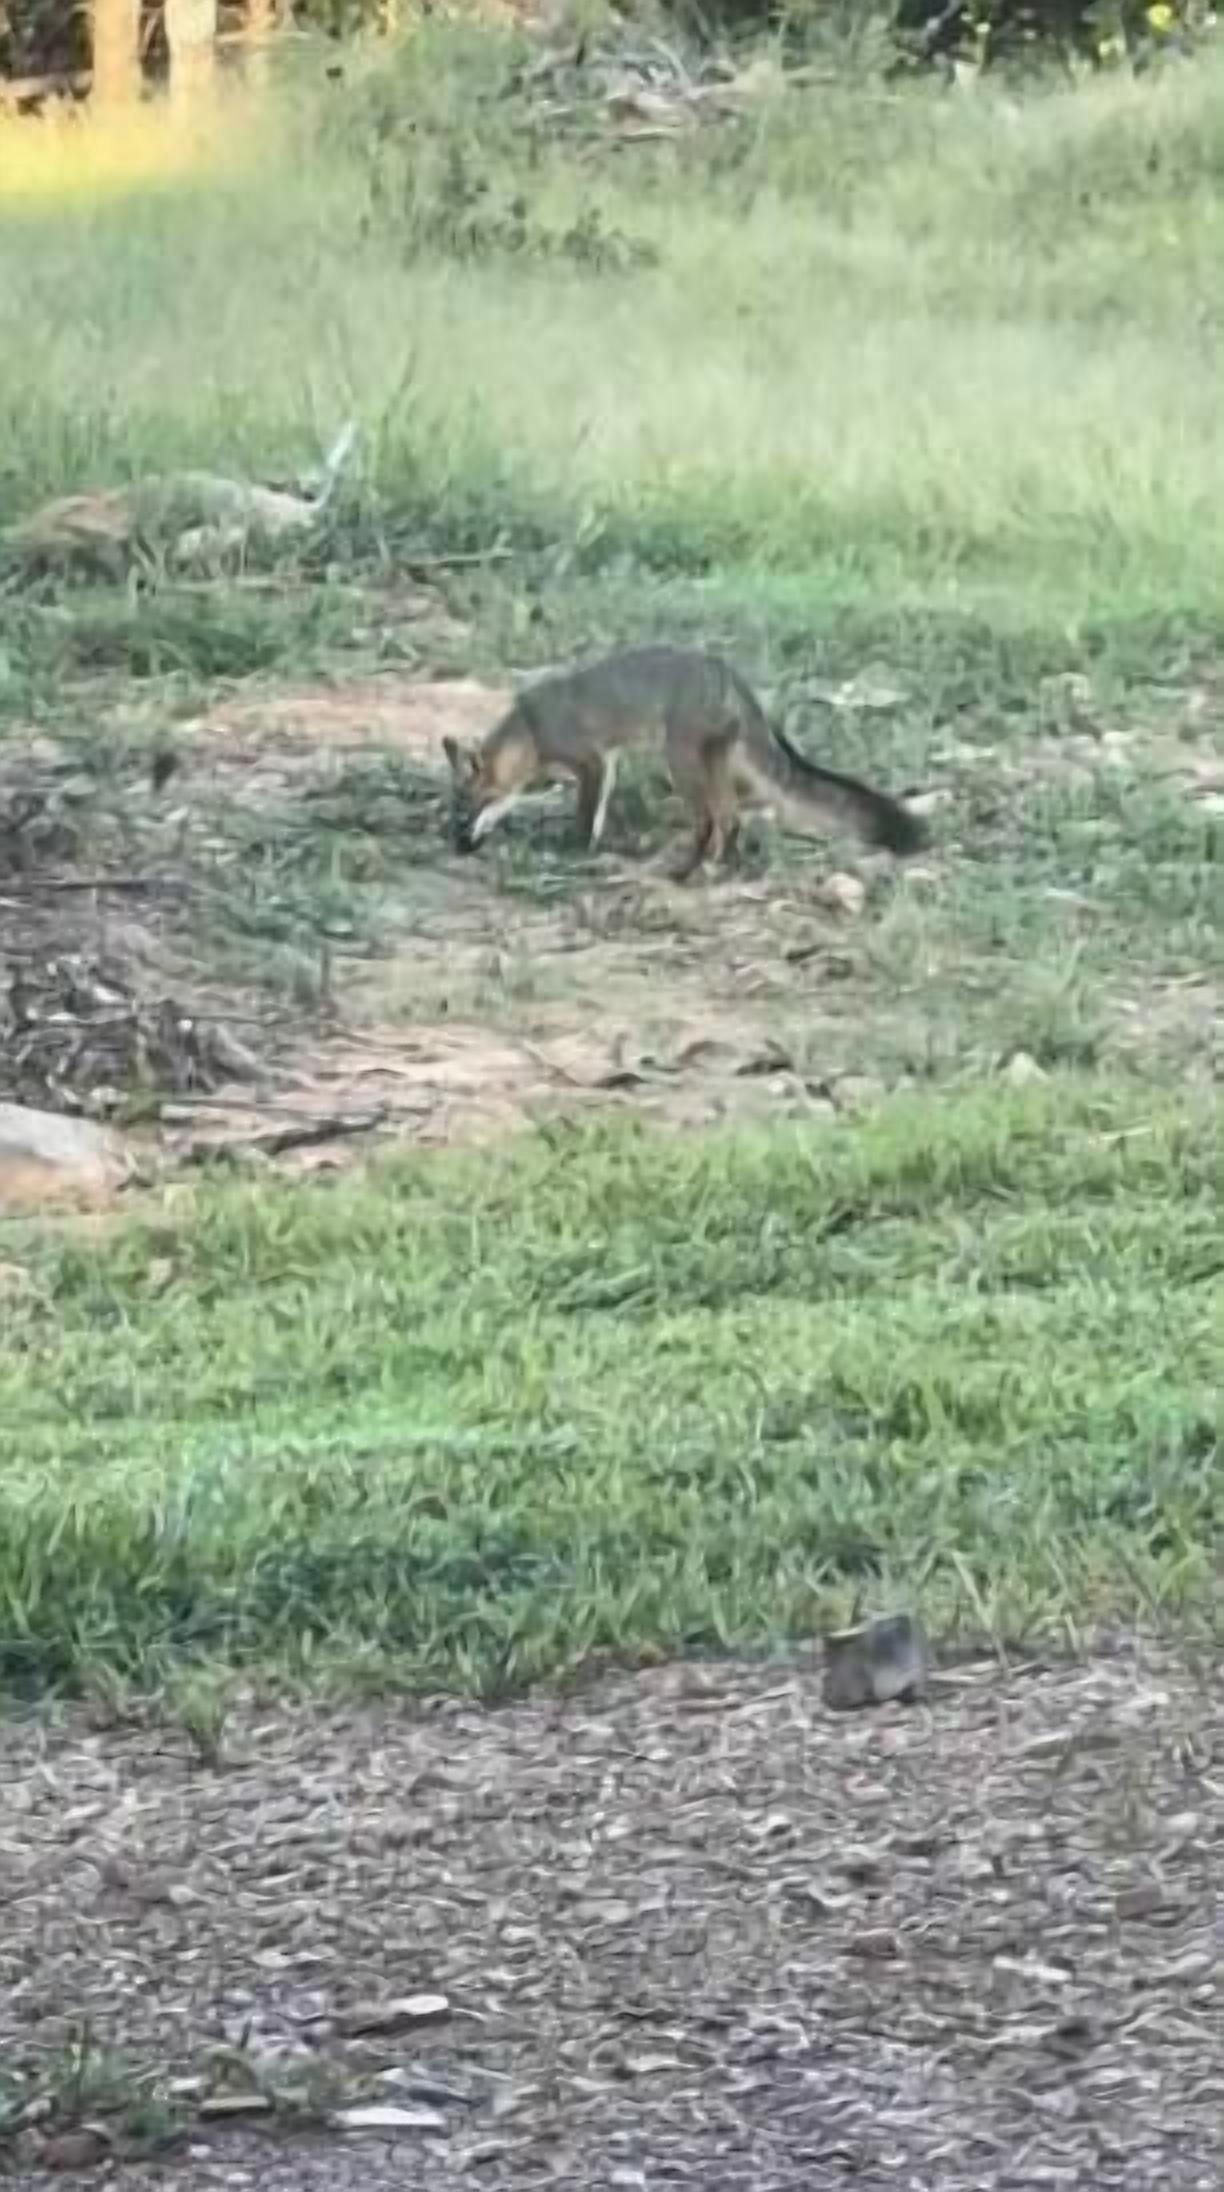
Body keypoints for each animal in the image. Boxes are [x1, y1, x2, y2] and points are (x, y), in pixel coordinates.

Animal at [443, 645, 926, 878]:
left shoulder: (593, 761)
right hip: (712, 764)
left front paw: (576, 849)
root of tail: (727, 672)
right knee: (731, 818)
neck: (530, 727)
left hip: (679, 761)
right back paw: (718, 865)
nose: (457, 847)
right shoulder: (607, 761)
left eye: (465, 815)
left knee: (714, 819)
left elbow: (587, 815)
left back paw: (688, 869)